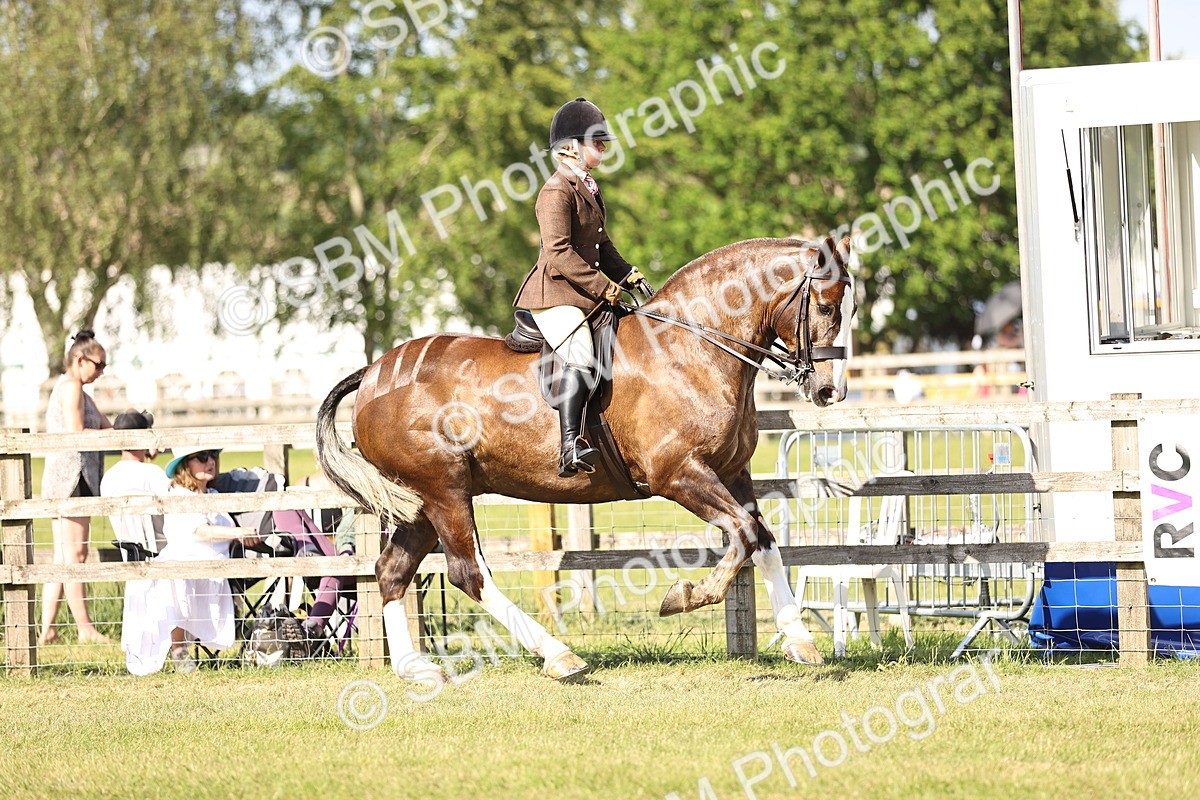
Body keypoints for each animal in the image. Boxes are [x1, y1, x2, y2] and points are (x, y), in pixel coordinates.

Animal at [315, 236, 856, 682]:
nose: (831, 392)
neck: (693, 346)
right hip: (443, 490)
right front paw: (686, 596)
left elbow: (763, 540)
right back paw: (560, 656)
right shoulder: (679, 475)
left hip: (423, 503)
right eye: (827, 307)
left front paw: (800, 641)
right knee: (469, 572)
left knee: (391, 570)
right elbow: (742, 534)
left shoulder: (732, 472)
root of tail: (373, 372)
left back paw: (414, 667)